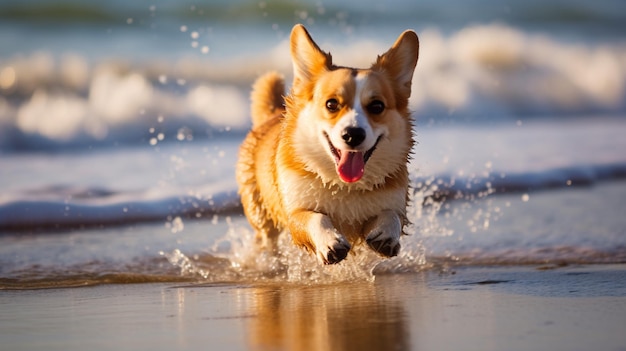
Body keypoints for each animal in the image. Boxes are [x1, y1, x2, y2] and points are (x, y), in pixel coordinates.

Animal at [236, 24, 416, 266]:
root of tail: (272, 115)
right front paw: (330, 242)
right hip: (261, 213)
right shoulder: (295, 212)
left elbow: (392, 215)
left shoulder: (393, 204)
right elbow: (316, 218)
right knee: (267, 239)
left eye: (377, 106)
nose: (352, 135)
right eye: (331, 104)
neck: (344, 186)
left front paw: (386, 235)